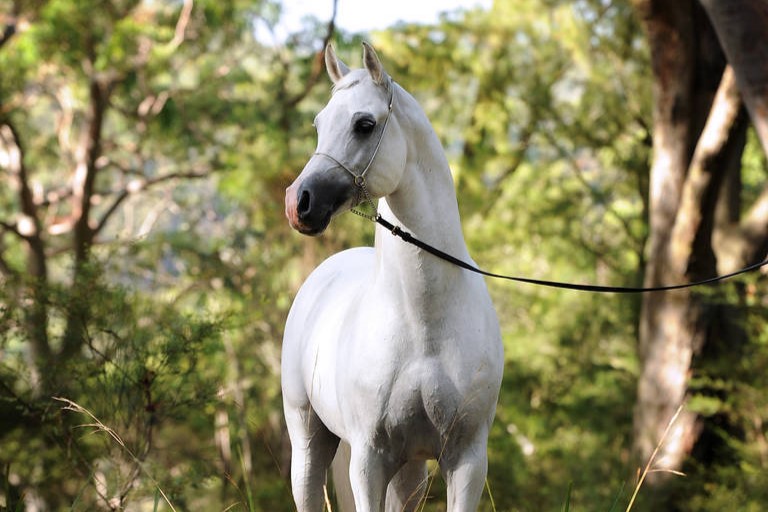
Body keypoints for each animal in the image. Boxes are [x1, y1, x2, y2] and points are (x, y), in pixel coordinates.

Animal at [282, 42, 504, 510]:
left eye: (364, 125)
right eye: (318, 124)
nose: (299, 202)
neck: (425, 325)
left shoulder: (467, 460)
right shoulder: (369, 461)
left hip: (409, 468)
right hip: (309, 442)